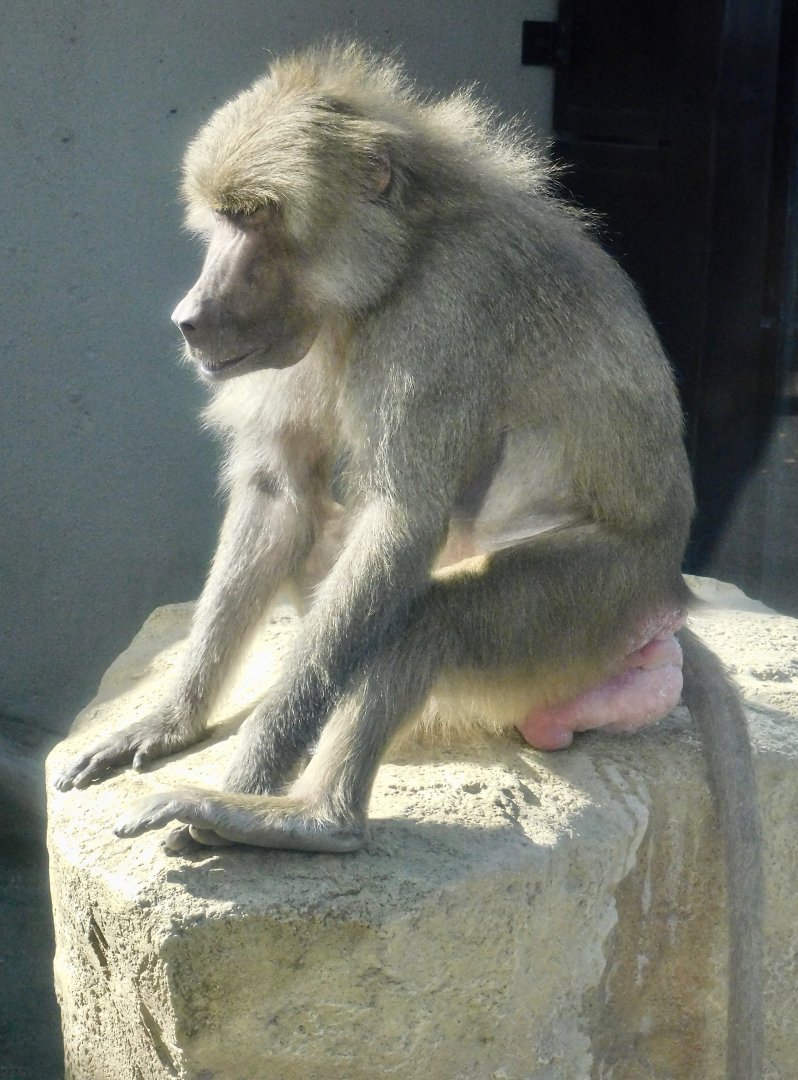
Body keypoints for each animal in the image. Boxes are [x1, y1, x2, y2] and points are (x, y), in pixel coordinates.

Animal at [54, 44, 762, 1079]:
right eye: (222, 220)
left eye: (258, 219)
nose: (191, 316)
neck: (406, 249)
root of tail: (665, 600)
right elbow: (281, 491)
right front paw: (169, 718)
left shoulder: (442, 312)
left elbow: (400, 522)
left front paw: (236, 783)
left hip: (591, 607)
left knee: (431, 616)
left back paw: (310, 822)